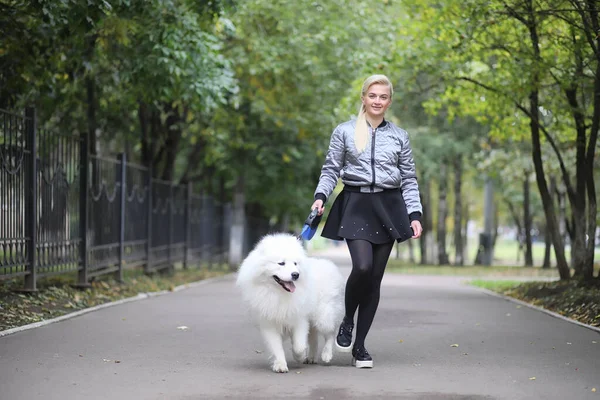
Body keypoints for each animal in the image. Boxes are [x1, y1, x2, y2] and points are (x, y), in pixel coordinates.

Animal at [236, 233, 344, 374]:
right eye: (281, 263)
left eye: (295, 263)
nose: (295, 274)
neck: (278, 294)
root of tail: (328, 264)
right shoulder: (269, 323)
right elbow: (276, 347)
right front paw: (280, 365)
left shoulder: (300, 319)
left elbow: (299, 346)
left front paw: (299, 357)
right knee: (314, 338)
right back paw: (311, 357)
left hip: (324, 316)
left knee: (330, 334)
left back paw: (326, 354)